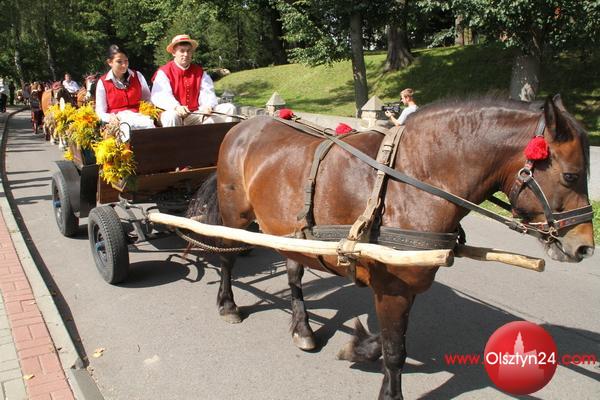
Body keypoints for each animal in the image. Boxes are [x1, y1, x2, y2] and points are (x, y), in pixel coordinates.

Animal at [188, 94, 594, 399]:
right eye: (571, 175)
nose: (584, 247)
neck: (412, 180)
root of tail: (242, 126)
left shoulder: (406, 283)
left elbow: (387, 342)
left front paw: (359, 347)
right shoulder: (391, 286)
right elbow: (395, 351)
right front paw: (387, 388)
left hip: (290, 230)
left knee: (293, 270)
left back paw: (303, 327)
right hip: (236, 215)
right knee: (226, 257)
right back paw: (228, 304)